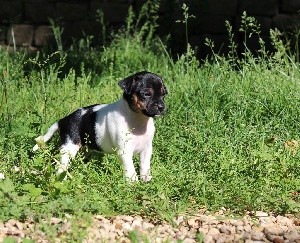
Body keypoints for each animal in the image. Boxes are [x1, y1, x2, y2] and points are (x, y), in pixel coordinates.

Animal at [33, 71, 169, 181]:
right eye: (146, 94)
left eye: (163, 94)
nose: (162, 107)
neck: (138, 118)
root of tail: (63, 120)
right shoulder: (124, 152)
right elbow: (130, 170)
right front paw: (133, 184)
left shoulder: (146, 149)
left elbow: (145, 166)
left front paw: (146, 181)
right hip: (69, 147)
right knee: (61, 166)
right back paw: (62, 179)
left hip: (84, 149)